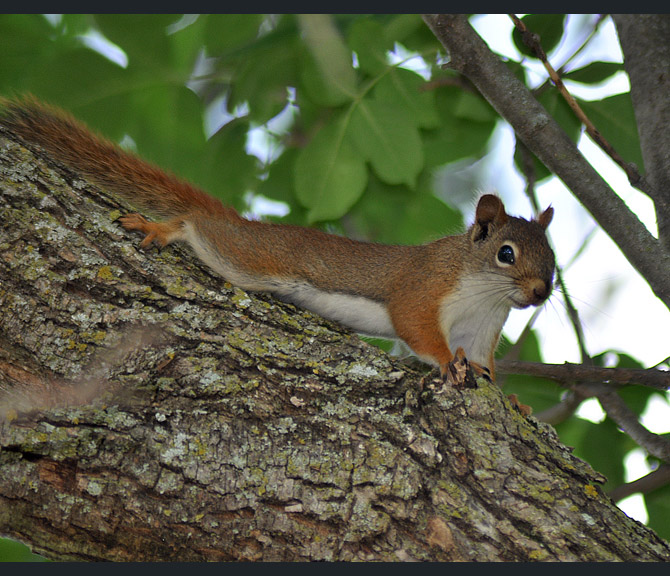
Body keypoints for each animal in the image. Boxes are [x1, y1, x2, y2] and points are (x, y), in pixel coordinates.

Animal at [0, 96, 556, 380]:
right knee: (197, 226)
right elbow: (416, 328)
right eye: (506, 253)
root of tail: (245, 225)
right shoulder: (423, 289)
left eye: (552, 260)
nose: (539, 292)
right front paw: (444, 364)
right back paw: (164, 227)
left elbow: (482, 365)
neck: (482, 294)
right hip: (242, 255)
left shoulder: (480, 331)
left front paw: (506, 396)